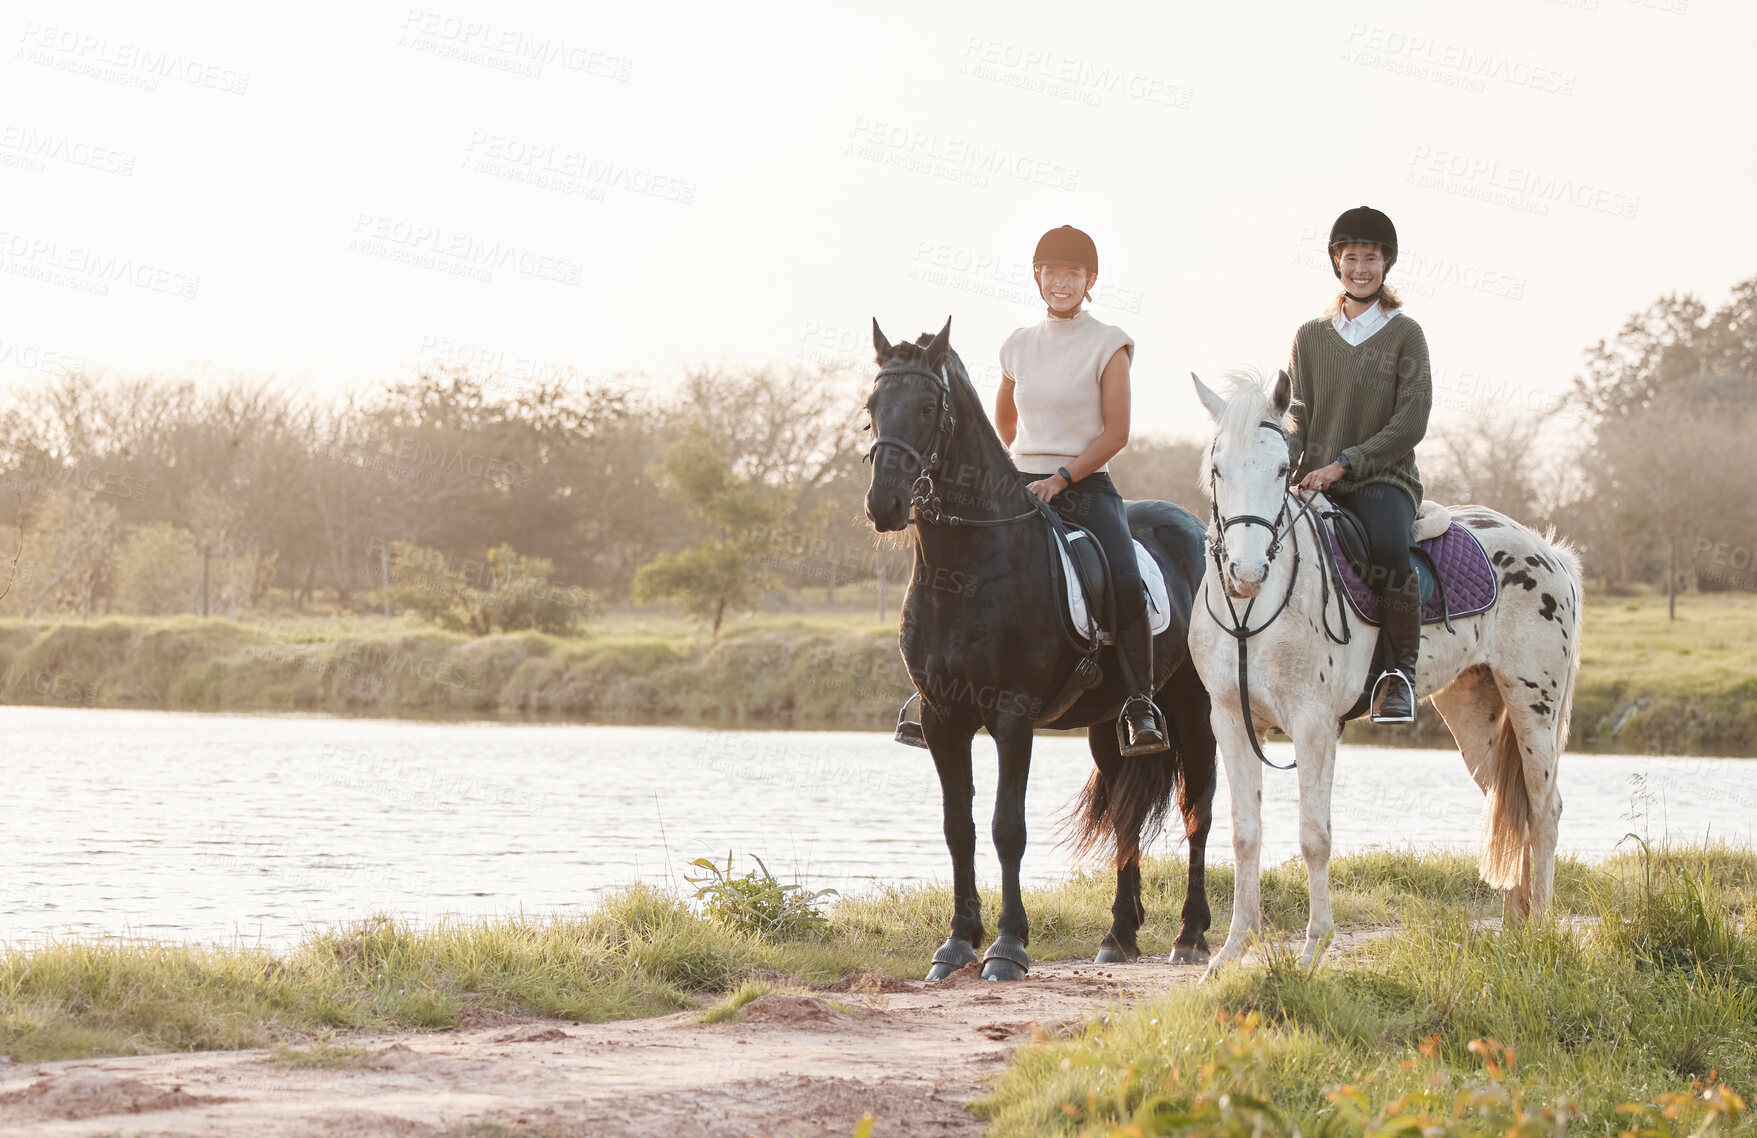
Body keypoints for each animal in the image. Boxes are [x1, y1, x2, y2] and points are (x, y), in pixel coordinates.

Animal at [864, 317, 1222, 976]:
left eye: (927, 407)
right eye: (871, 409)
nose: (885, 505)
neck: (967, 566)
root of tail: (1194, 526)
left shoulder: (1012, 715)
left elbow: (1008, 827)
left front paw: (1007, 947)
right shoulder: (944, 717)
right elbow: (959, 827)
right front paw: (956, 943)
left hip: (1194, 707)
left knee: (1198, 811)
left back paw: (1190, 937)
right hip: (1110, 723)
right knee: (1126, 813)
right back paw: (1118, 936)